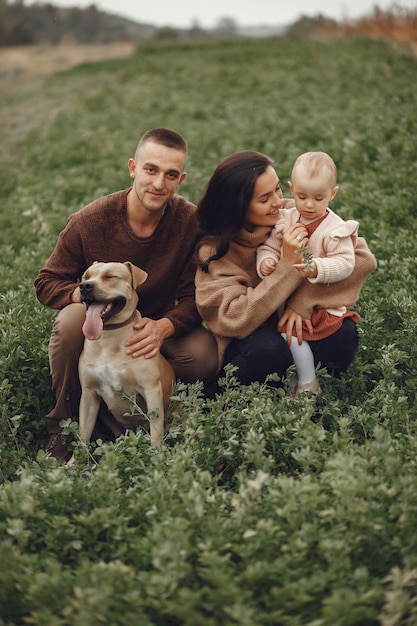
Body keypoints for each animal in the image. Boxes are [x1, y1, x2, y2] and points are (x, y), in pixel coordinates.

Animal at [68, 260, 174, 460]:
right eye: (86, 276)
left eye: (109, 276)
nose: (84, 286)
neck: (108, 337)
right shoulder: (88, 394)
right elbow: (83, 433)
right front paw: (74, 463)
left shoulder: (151, 390)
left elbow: (156, 431)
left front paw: (156, 459)